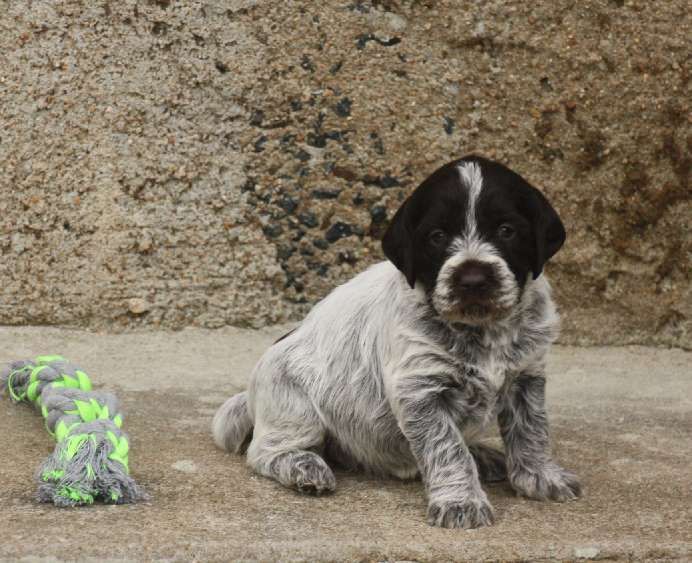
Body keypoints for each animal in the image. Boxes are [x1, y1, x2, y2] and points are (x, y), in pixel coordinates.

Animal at [214, 154, 580, 528]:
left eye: (507, 231)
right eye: (437, 236)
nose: (474, 280)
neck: (480, 329)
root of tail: (252, 393)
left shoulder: (526, 376)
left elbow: (532, 431)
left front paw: (540, 477)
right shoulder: (420, 390)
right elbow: (447, 448)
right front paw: (460, 501)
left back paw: (481, 454)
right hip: (296, 409)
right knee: (265, 451)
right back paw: (306, 467)